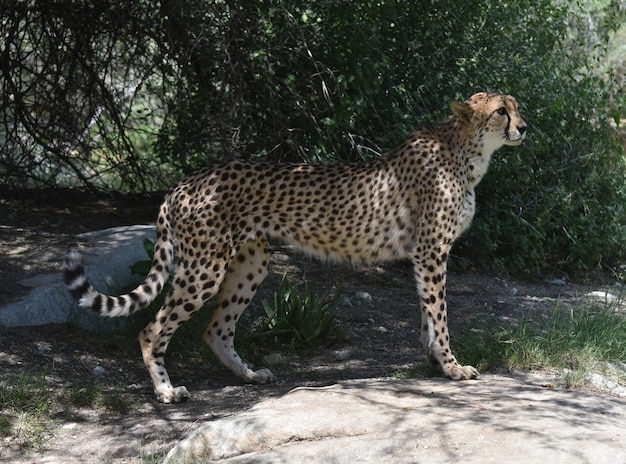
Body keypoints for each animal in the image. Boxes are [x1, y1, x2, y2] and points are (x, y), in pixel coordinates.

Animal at [63, 91, 524, 402]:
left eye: (515, 107)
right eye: (500, 111)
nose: (523, 127)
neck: (465, 151)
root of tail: (187, 179)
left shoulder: (424, 255)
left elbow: (428, 315)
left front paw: (433, 361)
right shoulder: (431, 252)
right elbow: (439, 314)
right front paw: (452, 366)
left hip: (251, 263)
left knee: (216, 329)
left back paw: (249, 376)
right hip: (204, 267)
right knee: (152, 328)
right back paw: (165, 391)